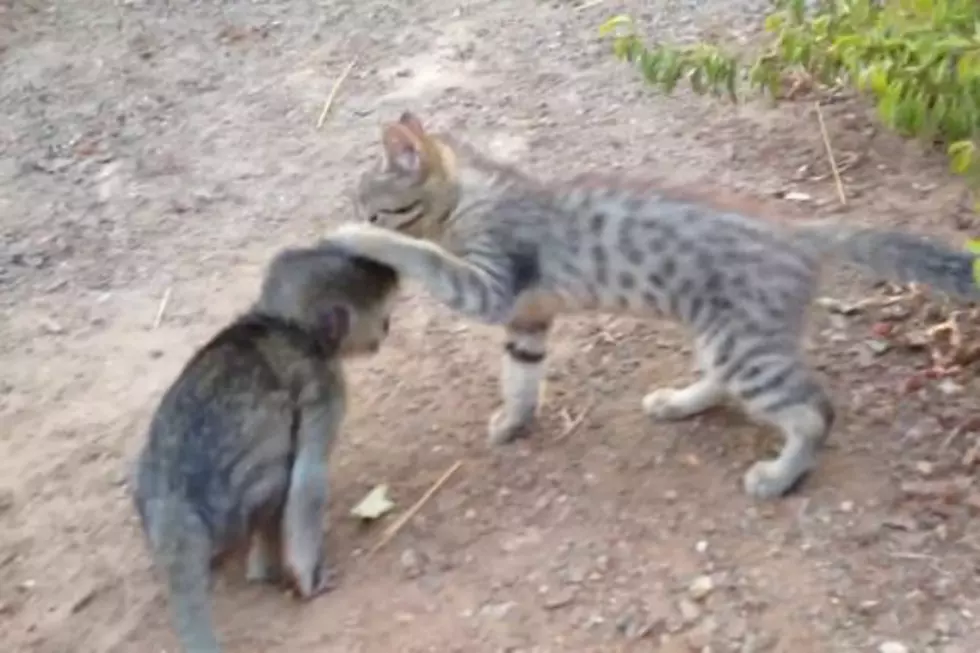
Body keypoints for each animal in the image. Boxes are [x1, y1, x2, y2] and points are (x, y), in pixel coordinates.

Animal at [132, 242, 400, 652]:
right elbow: (307, 478)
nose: (386, 331)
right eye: (380, 321)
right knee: (279, 478)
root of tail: (172, 507)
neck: (282, 323)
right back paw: (265, 570)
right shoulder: (326, 382)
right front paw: (307, 579)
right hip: (235, 503)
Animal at [328, 112, 980, 500]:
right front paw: (514, 421)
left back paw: (779, 476)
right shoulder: (528, 318)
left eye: (374, 209)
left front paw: (355, 239)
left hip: (746, 346)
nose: (359, 217)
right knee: (729, 383)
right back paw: (678, 402)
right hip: (726, 335)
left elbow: (423, 255)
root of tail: (799, 229)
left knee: (815, 410)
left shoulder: (492, 286)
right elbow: (520, 377)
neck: (473, 197)